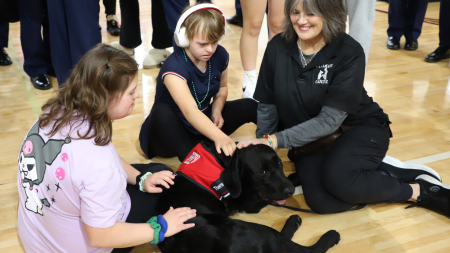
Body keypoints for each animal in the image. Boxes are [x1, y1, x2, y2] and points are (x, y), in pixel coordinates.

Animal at [155, 140, 338, 253]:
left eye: (279, 163)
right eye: (262, 172)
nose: (290, 191)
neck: (227, 161)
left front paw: (296, 176)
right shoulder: (247, 202)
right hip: (261, 230)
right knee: (301, 248)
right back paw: (321, 233)